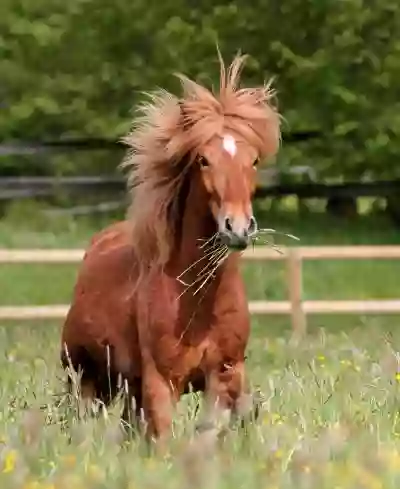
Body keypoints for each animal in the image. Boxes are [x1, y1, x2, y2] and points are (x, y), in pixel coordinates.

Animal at [60, 53, 282, 442]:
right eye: (204, 160)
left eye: (253, 160)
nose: (238, 227)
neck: (198, 303)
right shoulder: (161, 383)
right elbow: (164, 439)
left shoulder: (224, 375)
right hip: (86, 378)